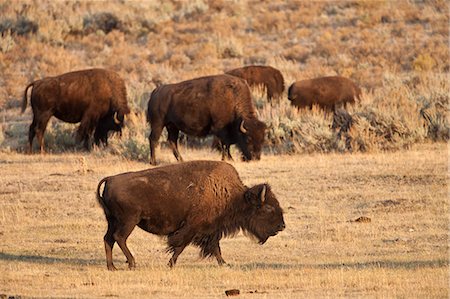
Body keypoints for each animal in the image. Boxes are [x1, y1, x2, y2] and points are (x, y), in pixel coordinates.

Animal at [96, 162, 284, 272]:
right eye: (268, 207)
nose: (282, 226)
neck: (232, 195)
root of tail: (110, 179)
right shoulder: (192, 228)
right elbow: (180, 246)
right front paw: (171, 264)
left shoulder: (210, 231)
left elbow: (215, 248)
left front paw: (224, 263)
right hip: (128, 221)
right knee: (119, 238)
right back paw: (132, 263)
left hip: (112, 221)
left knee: (108, 239)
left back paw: (112, 267)